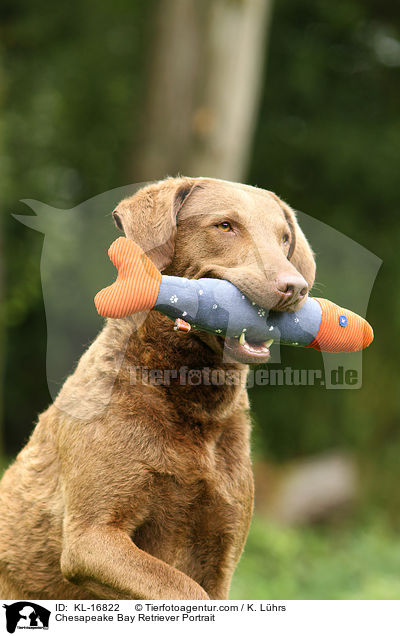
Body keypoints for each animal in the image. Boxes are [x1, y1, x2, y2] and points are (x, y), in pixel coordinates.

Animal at [0, 176, 316, 600]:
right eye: (225, 226)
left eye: (284, 238)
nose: (295, 288)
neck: (192, 401)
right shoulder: (91, 539)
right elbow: (183, 589)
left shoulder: (223, 551)